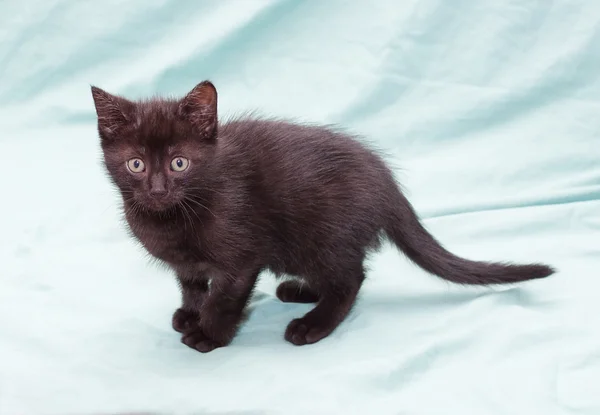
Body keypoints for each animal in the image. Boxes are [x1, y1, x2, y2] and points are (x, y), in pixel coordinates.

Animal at [91, 81, 556, 354]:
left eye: (179, 163)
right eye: (136, 165)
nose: (156, 190)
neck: (173, 218)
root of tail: (386, 183)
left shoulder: (242, 256)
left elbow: (224, 297)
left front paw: (209, 333)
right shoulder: (186, 264)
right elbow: (191, 285)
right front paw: (191, 312)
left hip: (321, 235)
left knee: (351, 278)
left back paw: (312, 324)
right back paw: (298, 291)